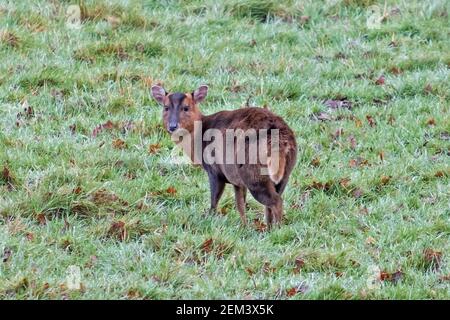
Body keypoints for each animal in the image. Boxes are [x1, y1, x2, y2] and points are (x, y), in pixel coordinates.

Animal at [152, 85, 298, 228]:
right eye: (166, 107)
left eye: (186, 107)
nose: (172, 126)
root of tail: (279, 141)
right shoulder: (236, 180)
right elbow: (240, 204)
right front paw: (244, 226)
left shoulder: (215, 171)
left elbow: (214, 200)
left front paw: (209, 219)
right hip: (285, 173)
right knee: (273, 201)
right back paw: (269, 228)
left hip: (253, 173)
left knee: (275, 201)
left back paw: (277, 230)